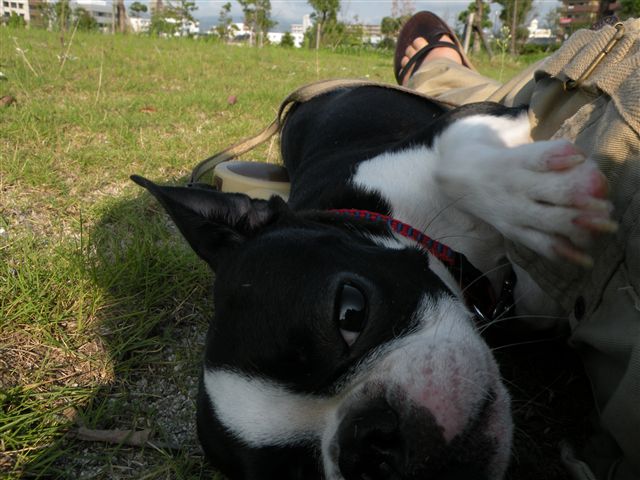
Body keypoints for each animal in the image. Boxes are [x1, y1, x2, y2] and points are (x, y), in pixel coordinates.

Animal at [132, 86, 614, 479]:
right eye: (301, 475)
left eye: (350, 312)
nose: (369, 443)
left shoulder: (478, 119)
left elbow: (454, 162)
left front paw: (532, 200)